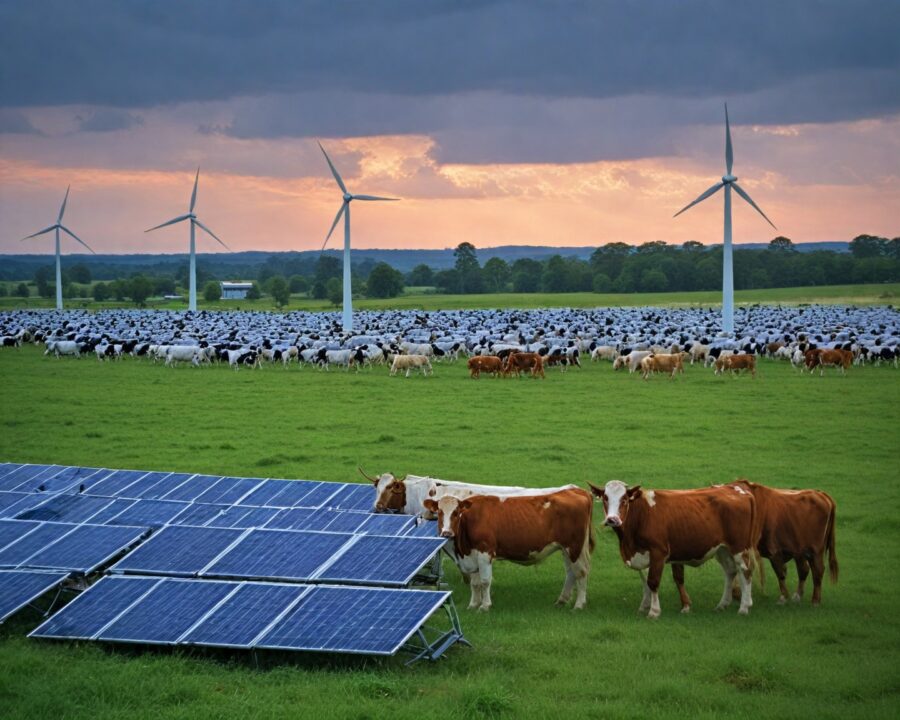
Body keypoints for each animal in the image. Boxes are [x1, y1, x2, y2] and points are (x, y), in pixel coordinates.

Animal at [424, 486, 596, 612]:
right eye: (439, 512)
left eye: (456, 512)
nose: (447, 532)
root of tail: (575, 490)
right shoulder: (471, 556)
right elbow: (475, 583)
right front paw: (473, 605)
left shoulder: (485, 552)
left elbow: (485, 581)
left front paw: (485, 606)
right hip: (566, 549)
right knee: (571, 572)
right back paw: (561, 600)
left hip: (575, 547)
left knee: (581, 572)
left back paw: (579, 604)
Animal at [592, 478, 760, 620]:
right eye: (605, 498)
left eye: (624, 499)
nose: (612, 520)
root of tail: (737, 489)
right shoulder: (642, 553)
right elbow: (645, 580)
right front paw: (644, 606)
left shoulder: (658, 552)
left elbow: (653, 581)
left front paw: (654, 611)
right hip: (722, 549)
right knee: (730, 571)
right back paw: (722, 604)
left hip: (739, 546)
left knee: (745, 570)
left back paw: (744, 607)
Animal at [672, 478, 840, 608]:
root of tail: (821, 494)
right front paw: (737, 594)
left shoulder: (773, 551)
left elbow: (780, 573)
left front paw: (781, 597)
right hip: (801, 551)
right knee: (804, 570)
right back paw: (797, 596)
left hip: (815, 550)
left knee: (818, 571)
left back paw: (815, 600)